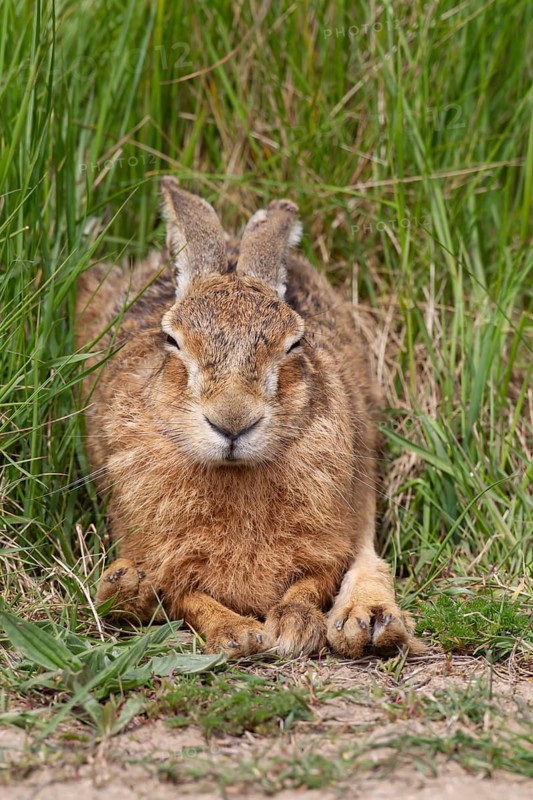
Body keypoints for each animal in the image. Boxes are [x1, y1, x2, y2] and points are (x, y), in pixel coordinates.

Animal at [75, 177, 423, 659]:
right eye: (172, 340)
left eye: (294, 344)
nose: (233, 422)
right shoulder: (165, 557)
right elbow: (187, 596)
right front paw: (237, 633)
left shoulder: (327, 540)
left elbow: (313, 581)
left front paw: (295, 627)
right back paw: (124, 587)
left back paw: (369, 620)